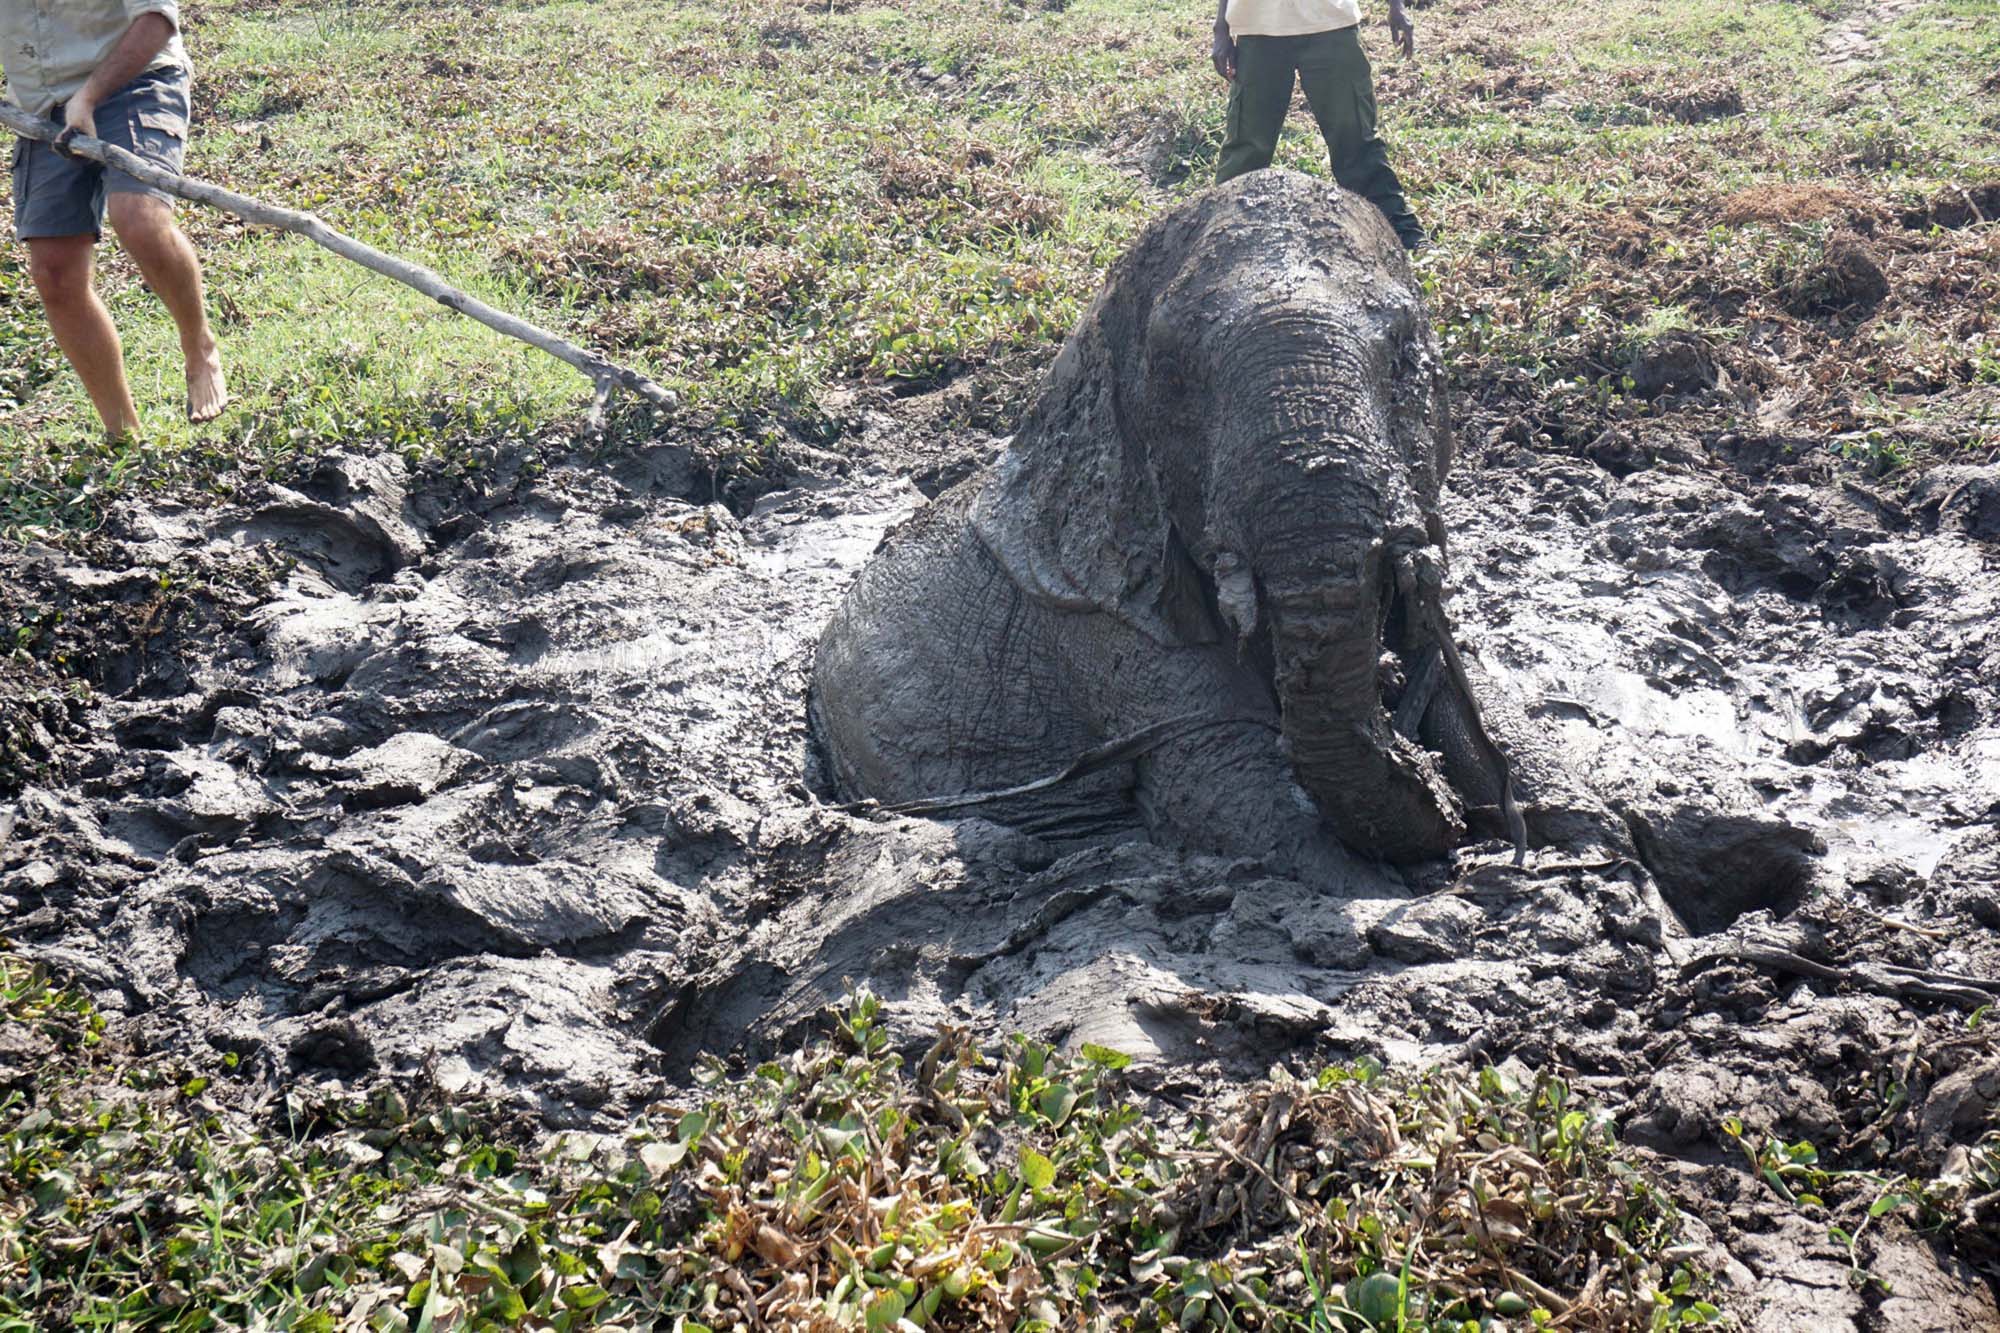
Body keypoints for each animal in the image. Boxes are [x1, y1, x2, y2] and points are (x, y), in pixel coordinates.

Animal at [812, 171, 1560, 876]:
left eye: (1407, 355)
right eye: (1173, 377)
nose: (1439, 790)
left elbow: (1497, 722)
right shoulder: (1109, 631)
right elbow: (1239, 802)